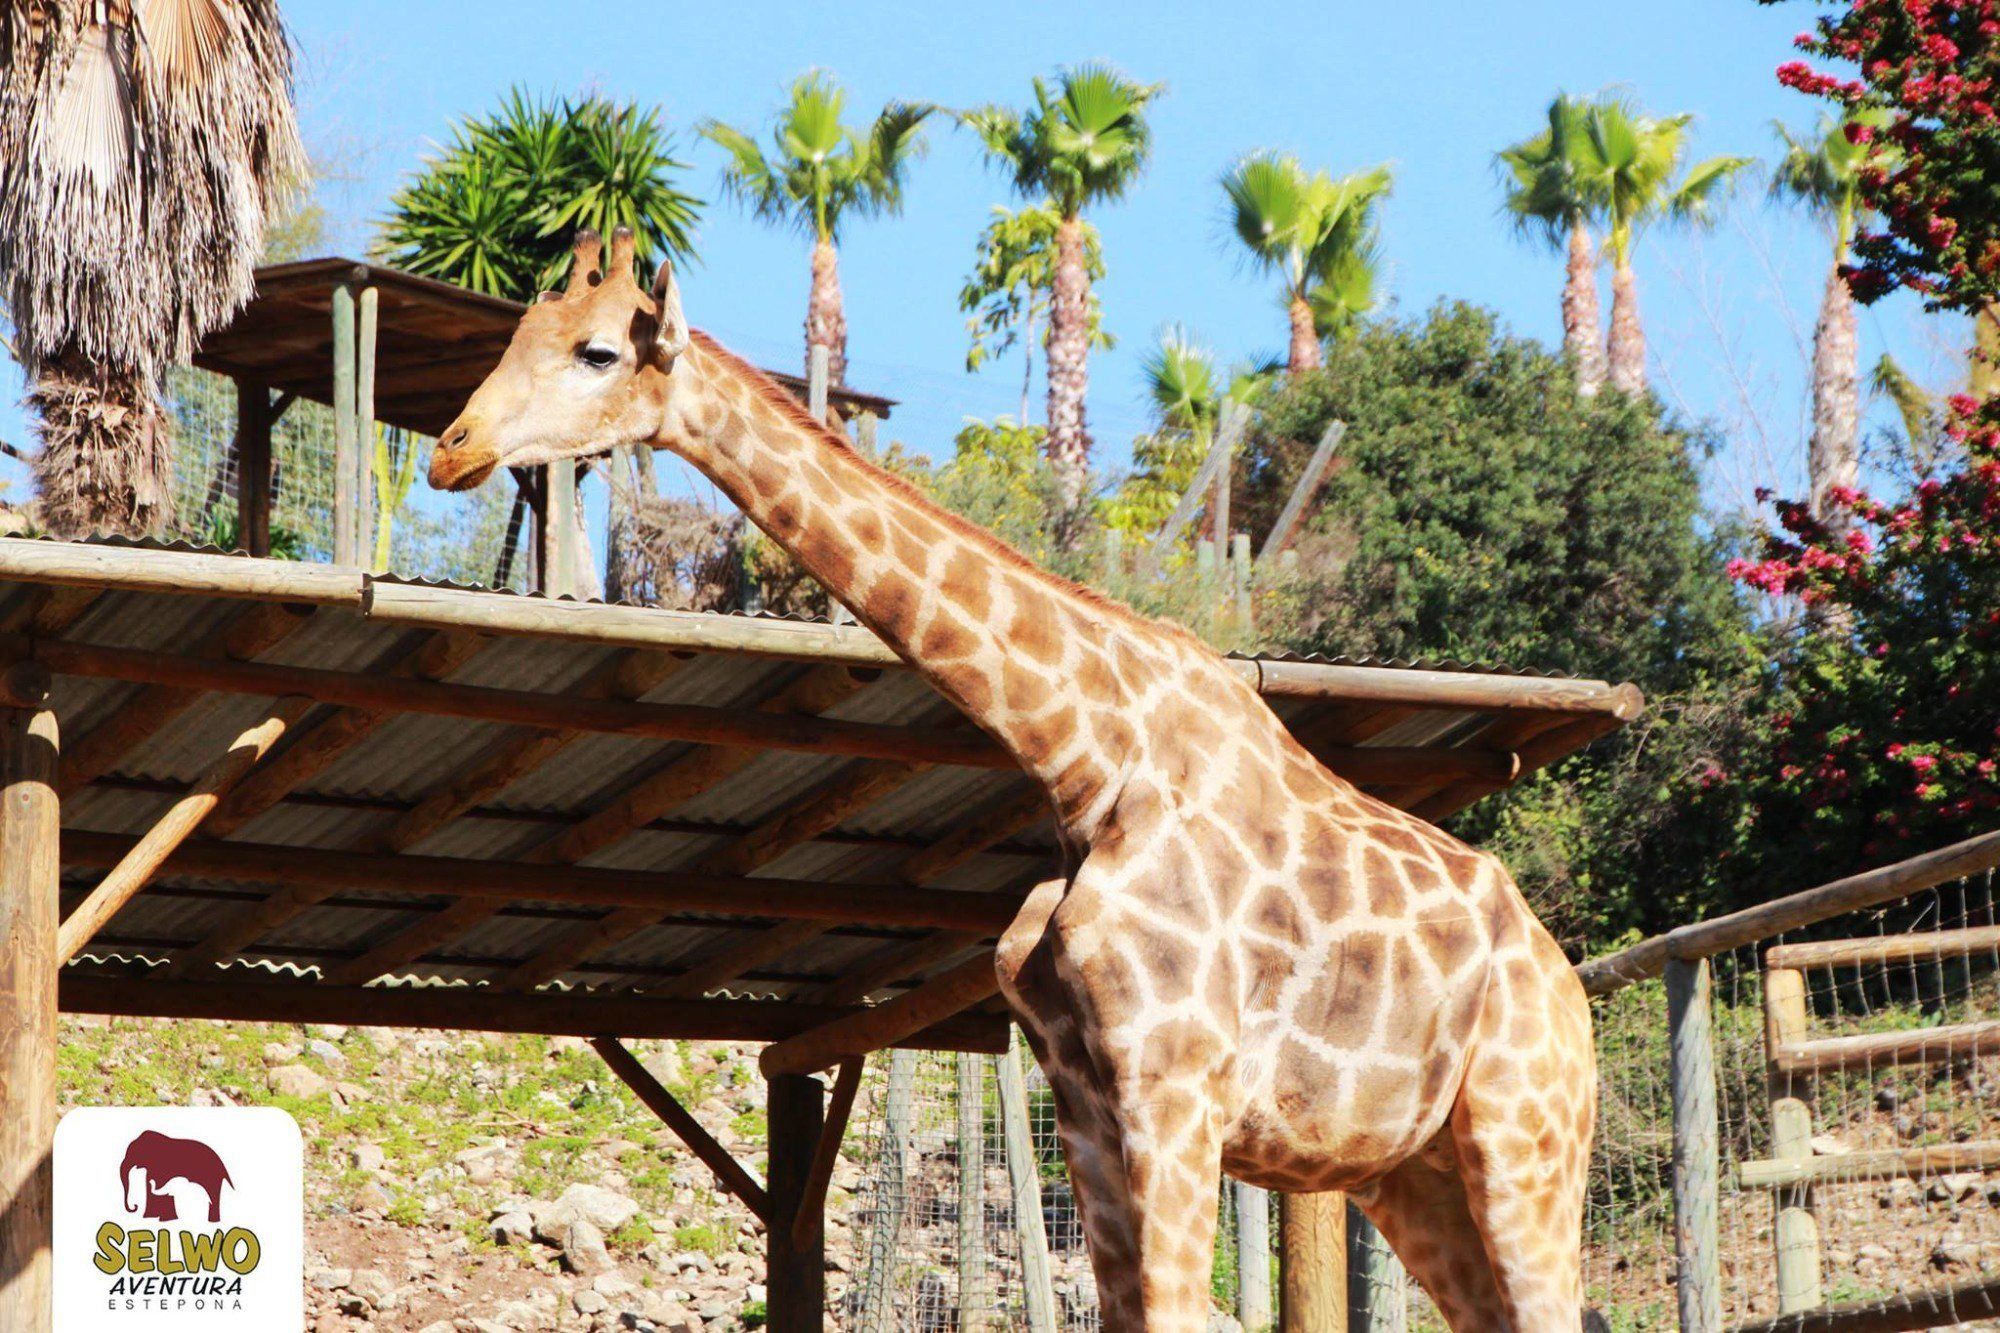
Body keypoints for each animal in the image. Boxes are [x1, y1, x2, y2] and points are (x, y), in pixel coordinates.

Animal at [428, 227, 1600, 1332]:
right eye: (514, 336)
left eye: (594, 351)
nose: (452, 449)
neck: (1083, 759)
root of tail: (1567, 988)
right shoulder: (1088, 1105)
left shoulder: (1175, 1090)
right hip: (1412, 1174)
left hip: (1523, 1141)